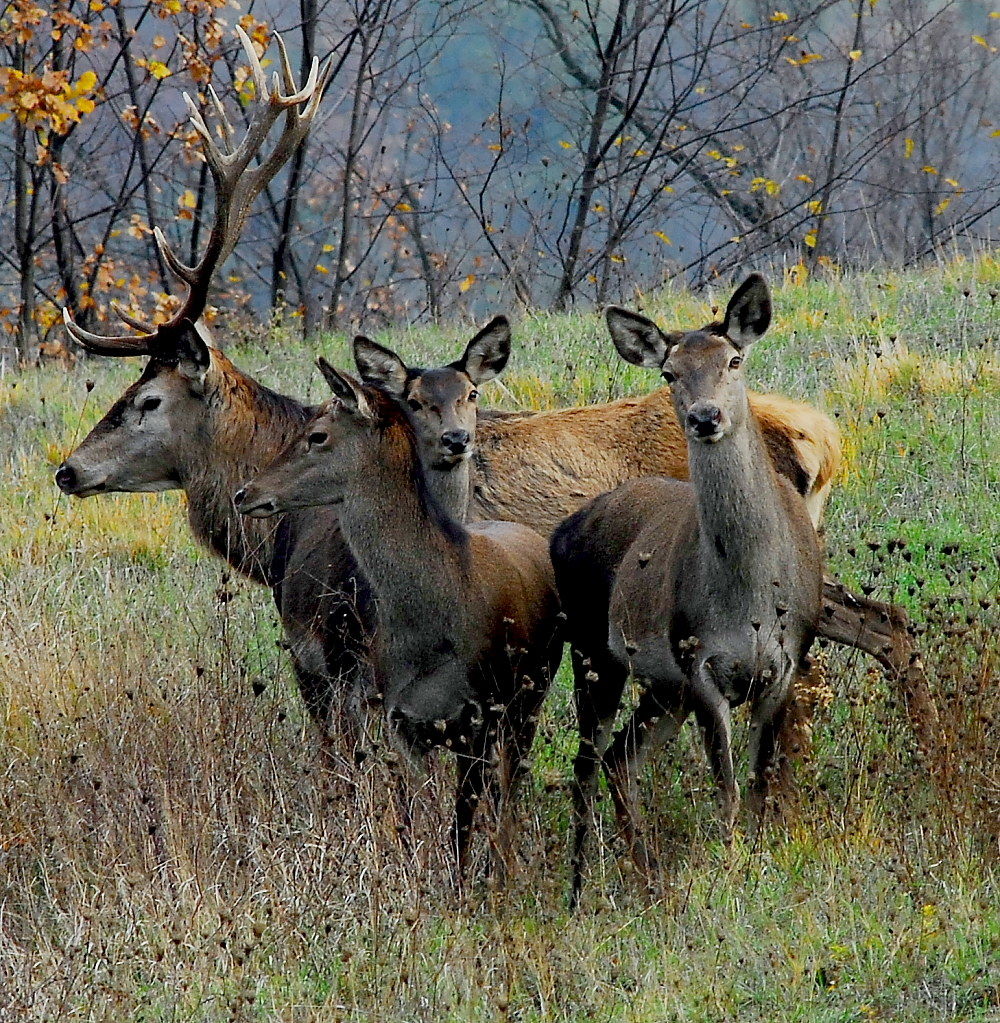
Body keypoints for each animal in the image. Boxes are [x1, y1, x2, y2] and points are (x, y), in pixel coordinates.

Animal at [234, 365, 563, 880]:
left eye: (317, 435)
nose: (245, 493)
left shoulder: (479, 713)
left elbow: (461, 824)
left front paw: (467, 887)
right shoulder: (401, 720)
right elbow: (414, 811)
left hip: (531, 692)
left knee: (508, 790)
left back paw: (506, 866)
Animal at [549, 275, 824, 906]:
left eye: (734, 360)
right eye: (669, 372)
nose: (705, 416)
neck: (750, 600)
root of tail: (560, 531)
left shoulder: (787, 659)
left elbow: (759, 779)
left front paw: (761, 860)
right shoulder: (698, 662)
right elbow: (725, 784)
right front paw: (732, 868)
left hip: (661, 685)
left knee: (622, 759)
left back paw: (647, 872)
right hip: (594, 650)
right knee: (587, 761)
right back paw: (579, 888)